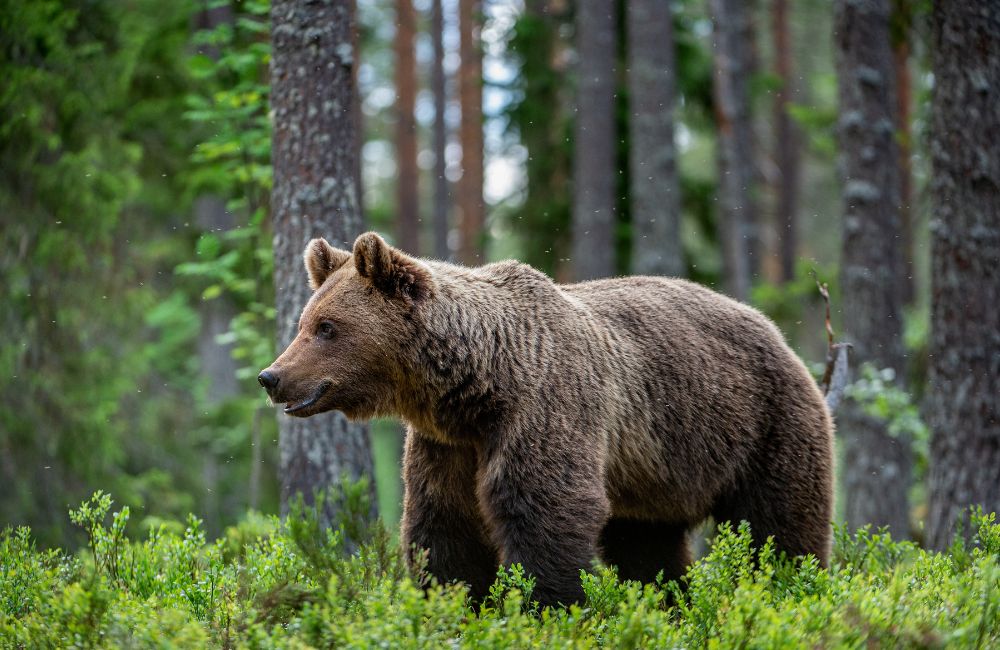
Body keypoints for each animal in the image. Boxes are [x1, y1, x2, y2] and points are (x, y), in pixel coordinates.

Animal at [254, 230, 832, 604]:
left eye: (327, 327)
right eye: (304, 323)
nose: (272, 376)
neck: (478, 386)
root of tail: (773, 327)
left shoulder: (547, 407)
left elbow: (544, 512)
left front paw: (543, 605)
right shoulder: (449, 446)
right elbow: (444, 526)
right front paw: (456, 603)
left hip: (763, 423)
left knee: (781, 525)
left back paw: (792, 587)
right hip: (652, 474)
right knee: (647, 546)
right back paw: (669, 603)